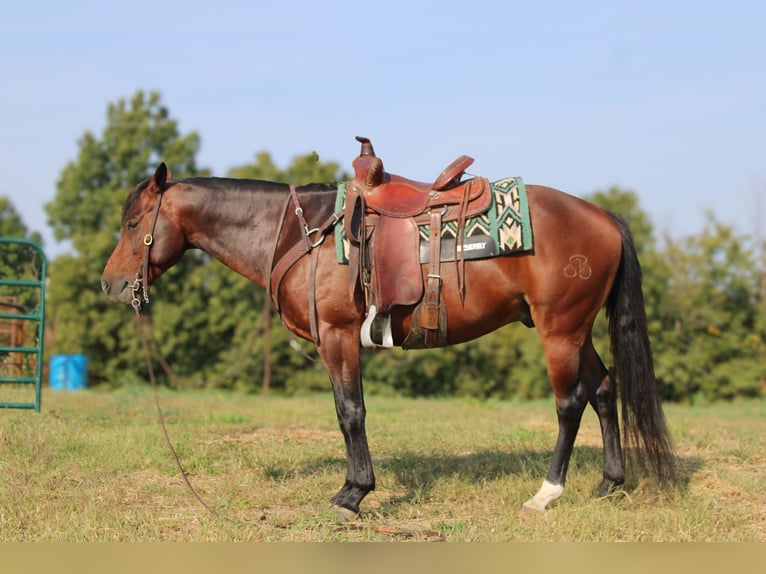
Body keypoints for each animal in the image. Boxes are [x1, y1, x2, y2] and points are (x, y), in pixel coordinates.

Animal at [101, 158, 675, 518]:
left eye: (132, 223)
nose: (110, 284)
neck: (300, 236)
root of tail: (604, 217)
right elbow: (346, 412)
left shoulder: (337, 337)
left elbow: (350, 413)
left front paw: (353, 494)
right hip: (576, 331)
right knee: (605, 391)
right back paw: (609, 483)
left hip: (560, 330)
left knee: (570, 402)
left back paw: (547, 494)